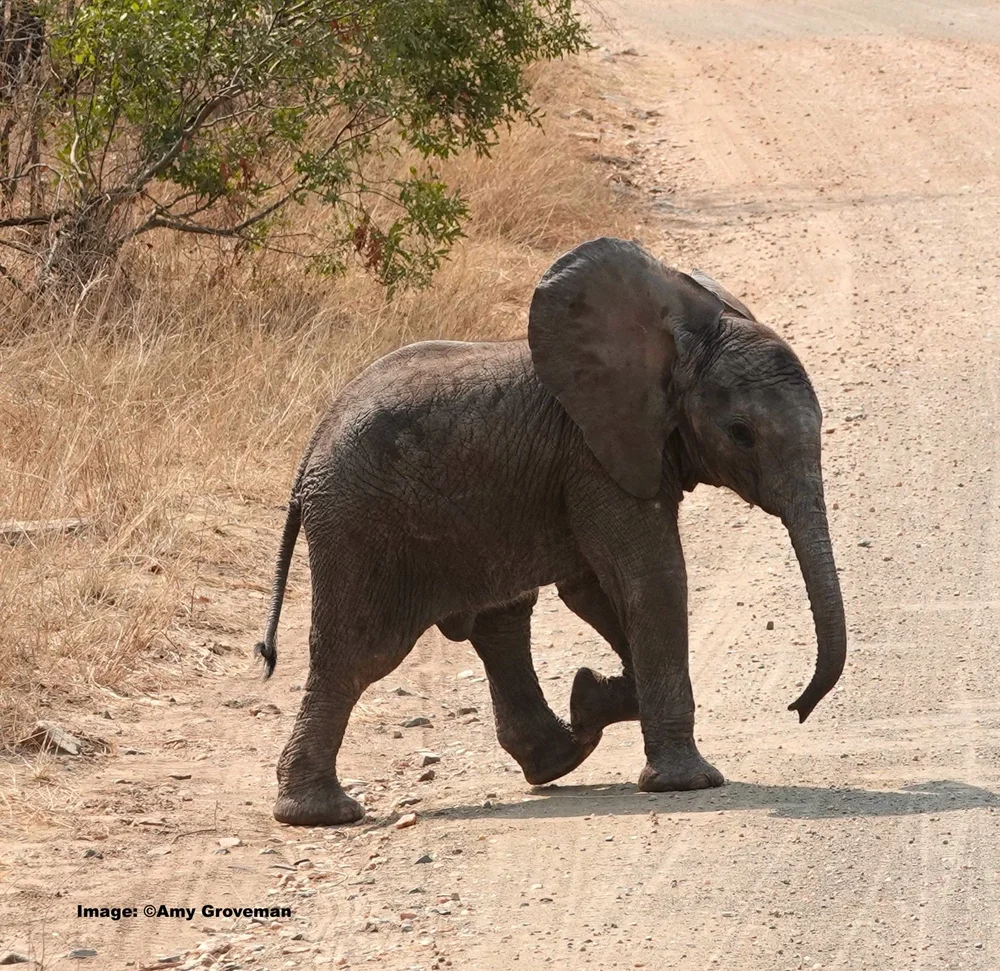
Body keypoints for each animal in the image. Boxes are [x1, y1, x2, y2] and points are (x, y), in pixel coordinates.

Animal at [254, 236, 847, 827]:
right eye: (741, 433)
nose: (795, 708)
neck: (681, 343)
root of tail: (307, 458)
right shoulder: (595, 458)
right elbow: (651, 581)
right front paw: (687, 782)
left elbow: (594, 590)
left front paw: (593, 696)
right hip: (360, 526)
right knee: (360, 653)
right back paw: (322, 814)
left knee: (500, 621)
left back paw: (560, 756)